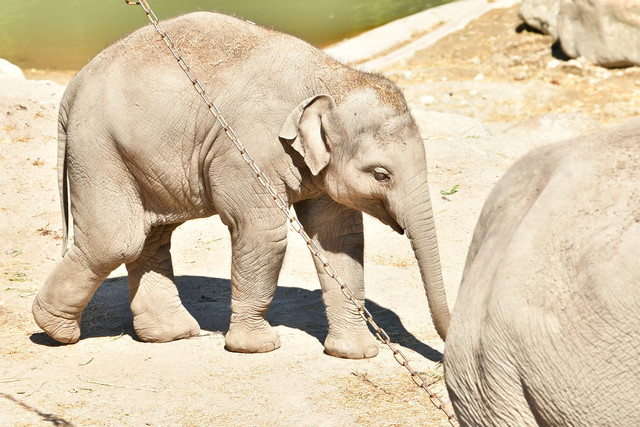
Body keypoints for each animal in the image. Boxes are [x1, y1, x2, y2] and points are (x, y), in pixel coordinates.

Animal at [32, 12, 451, 359]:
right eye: (381, 174)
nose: (442, 353)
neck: (330, 76)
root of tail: (72, 88)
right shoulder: (246, 149)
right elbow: (262, 232)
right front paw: (257, 348)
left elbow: (339, 239)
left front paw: (356, 354)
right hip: (99, 149)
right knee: (118, 240)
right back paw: (54, 330)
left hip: (143, 160)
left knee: (152, 236)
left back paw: (171, 334)